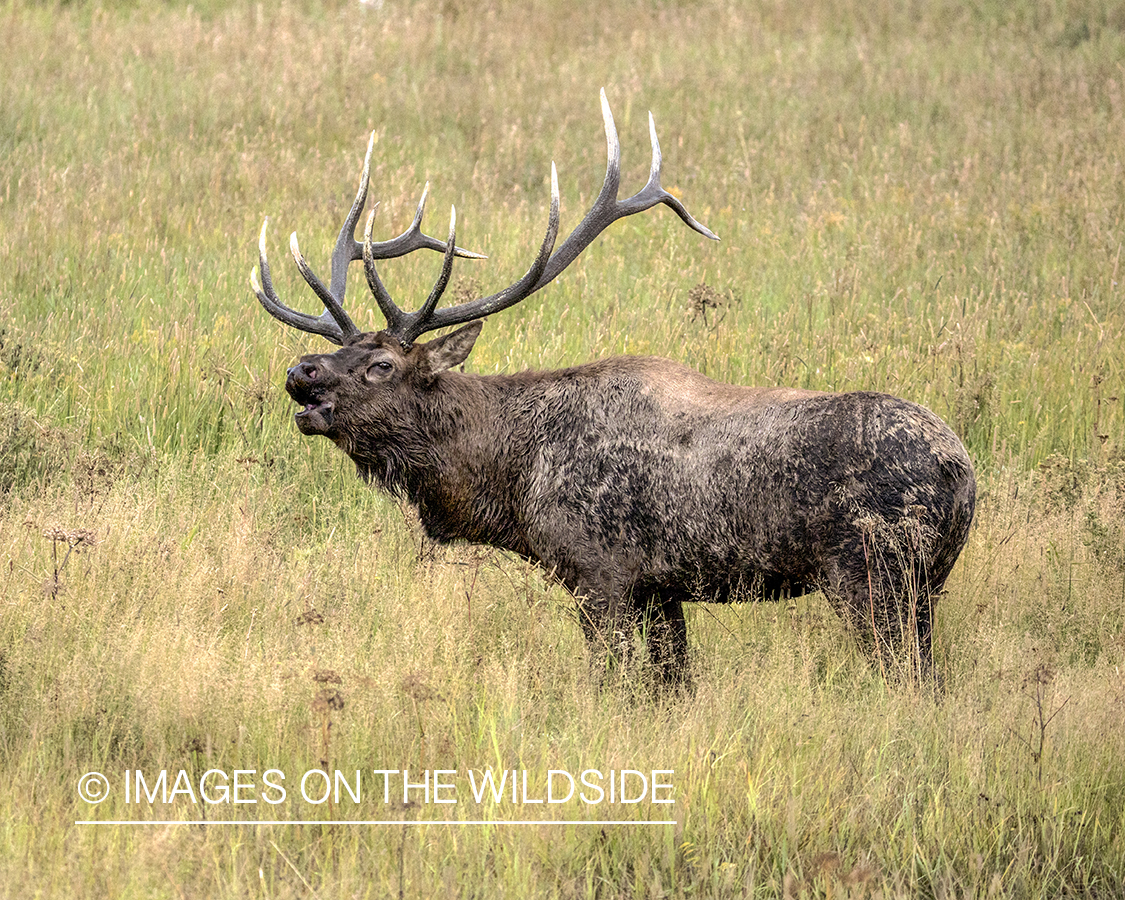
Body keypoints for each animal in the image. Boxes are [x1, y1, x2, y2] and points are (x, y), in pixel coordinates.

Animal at [250, 91, 972, 684]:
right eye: (340, 351)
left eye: (381, 365)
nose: (301, 372)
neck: (511, 483)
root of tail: (961, 470)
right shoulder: (661, 589)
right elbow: (673, 686)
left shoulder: (601, 573)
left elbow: (612, 685)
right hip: (925, 586)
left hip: (872, 575)